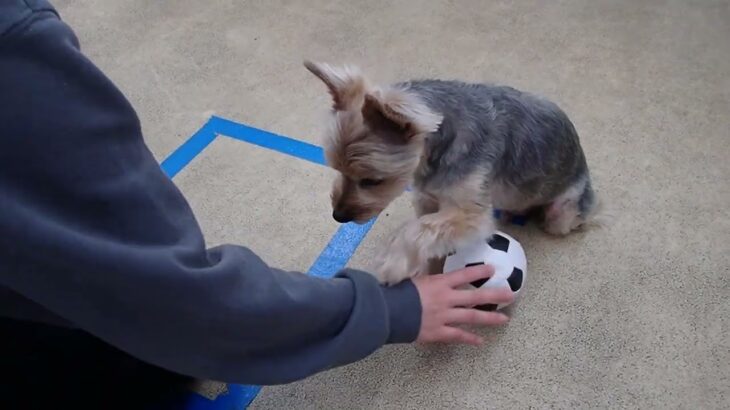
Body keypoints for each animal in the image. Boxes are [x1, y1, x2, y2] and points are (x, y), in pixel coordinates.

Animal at [304, 61, 600, 286]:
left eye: (371, 181)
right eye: (337, 170)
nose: (339, 215)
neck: (434, 154)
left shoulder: (470, 213)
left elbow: (420, 229)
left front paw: (392, 263)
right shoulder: (426, 198)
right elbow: (427, 229)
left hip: (563, 210)